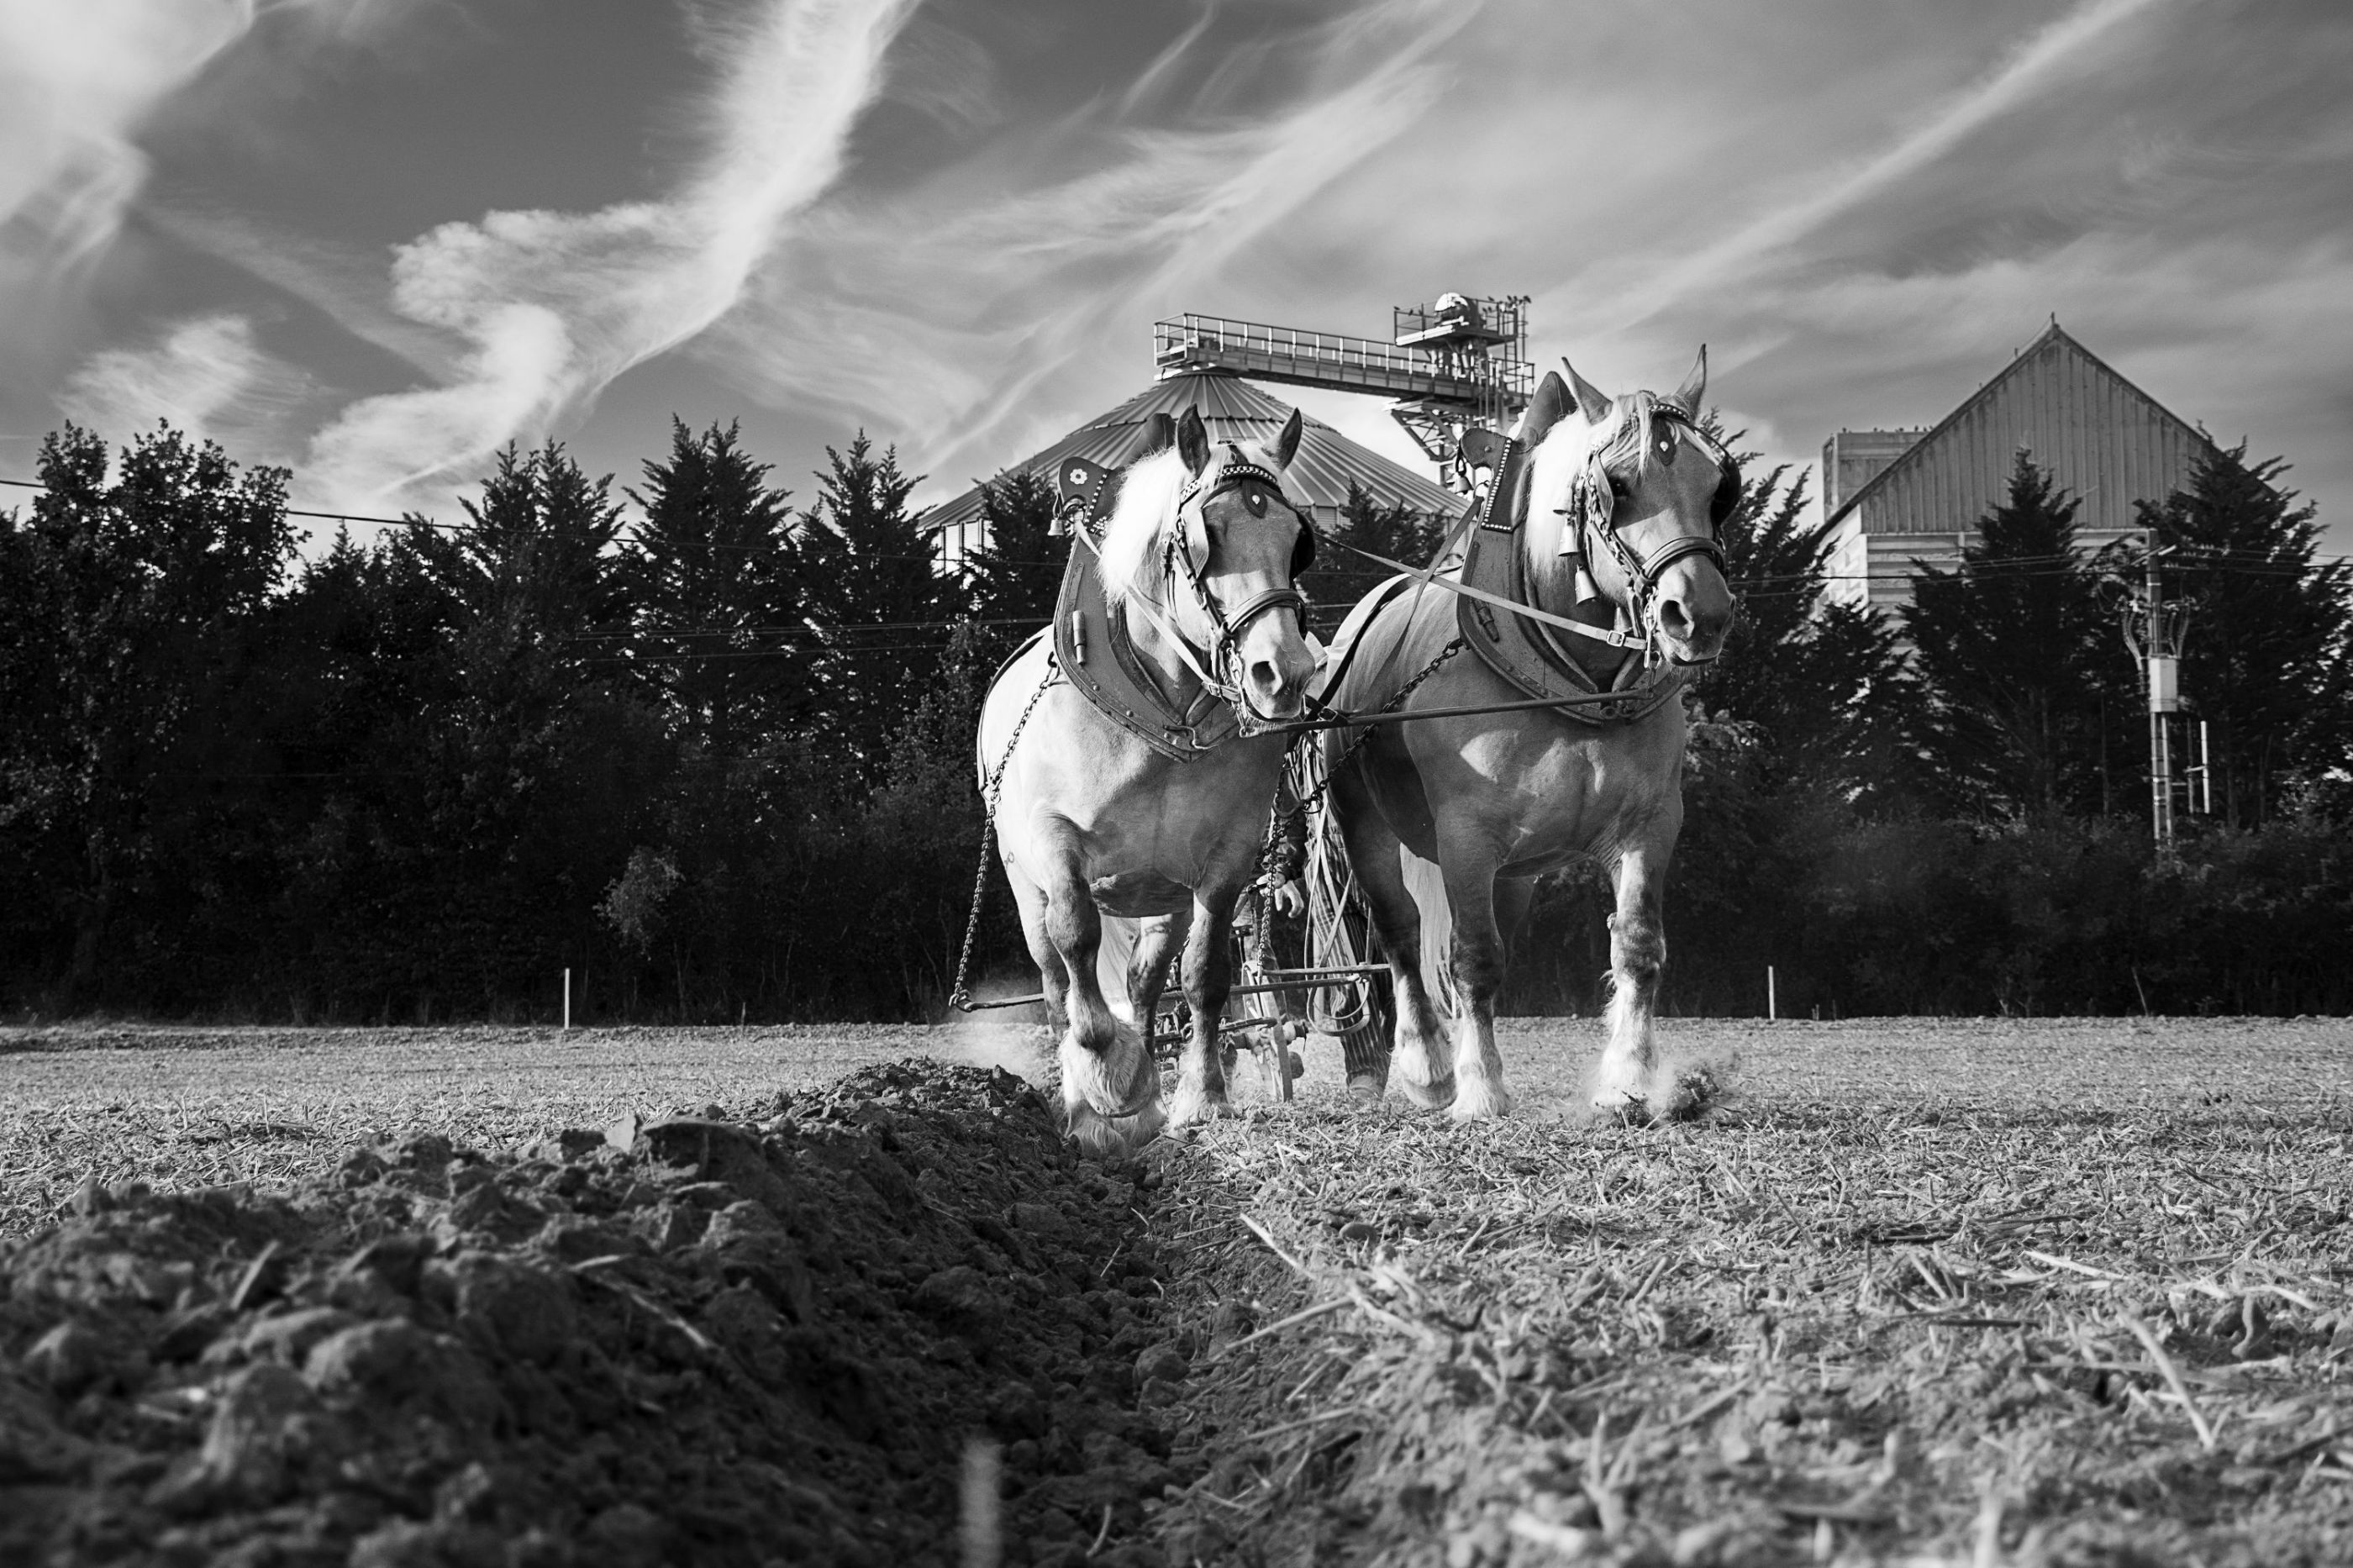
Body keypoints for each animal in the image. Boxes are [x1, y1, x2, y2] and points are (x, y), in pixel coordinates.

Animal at [974, 403, 1327, 1149]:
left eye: (1297, 541)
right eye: (1205, 538)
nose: (1283, 673)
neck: (1163, 715)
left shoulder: (1226, 859)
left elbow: (1204, 976)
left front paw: (1203, 1096)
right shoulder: (1054, 840)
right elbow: (1075, 941)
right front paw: (1100, 1079)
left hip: (1158, 893)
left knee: (1144, 983)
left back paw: (1148, 1087)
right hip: (1024, 882)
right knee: (1055, 975)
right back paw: (1087, 1084)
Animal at [1336, 350, 1741, 1111]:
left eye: (1717, 488)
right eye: (1617, 486)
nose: (1698, 614)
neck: (1572, 679)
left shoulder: (1651, 823)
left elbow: (1637, 946)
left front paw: (1630, 1080)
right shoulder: (1464, 835)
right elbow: (1472, 958)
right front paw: (1480, 1090)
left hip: (1514, 874)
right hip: (1368, 826)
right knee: (1403, 934)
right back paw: (1429, 1067)